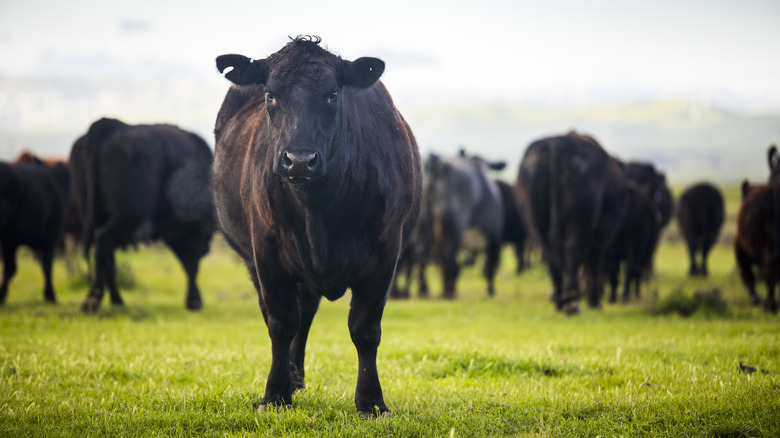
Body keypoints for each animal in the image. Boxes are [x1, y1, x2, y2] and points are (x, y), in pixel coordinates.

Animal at [69, 118, 216, 313]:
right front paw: (193, 300)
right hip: (127, 219)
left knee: (107, 257)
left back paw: (117, 300)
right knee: (103, 243)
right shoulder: (193, 234)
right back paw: (93, 299)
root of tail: (110, 125)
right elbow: (191, 264)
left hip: (97, 217)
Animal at [212, 36, 421, 417]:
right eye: (270, 94)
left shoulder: (386, 251)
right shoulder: (266, 251)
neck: (318, 209)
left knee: (306, 312)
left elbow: (365, 329)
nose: (299, 160)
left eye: (332, 94)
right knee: (287, 315)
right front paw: (274, 394)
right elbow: (281, 322)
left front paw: (371, 402)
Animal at [421, 151, 504, 298]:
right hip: (454, 232)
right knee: (449, 261)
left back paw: (426, 289)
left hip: (425, 231)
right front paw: (490, 291)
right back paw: (448, 292)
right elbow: (490, 266)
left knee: (424, 258)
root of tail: (439, 166)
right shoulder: (494, 236)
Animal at [517, 131, 627, 314]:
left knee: (551, 257)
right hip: (578, 224)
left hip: (536, 223)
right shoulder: (604, 232)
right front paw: (594, 300)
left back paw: (561, 301)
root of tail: (558, 142)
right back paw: (573, 301)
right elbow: (594, 264)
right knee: (572, 252)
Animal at [735, 180, 777, 313]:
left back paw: (769, 305)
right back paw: (771, 305)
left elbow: (749, 275)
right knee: (770, 270)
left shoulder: (740, 249)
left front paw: (755, 299)